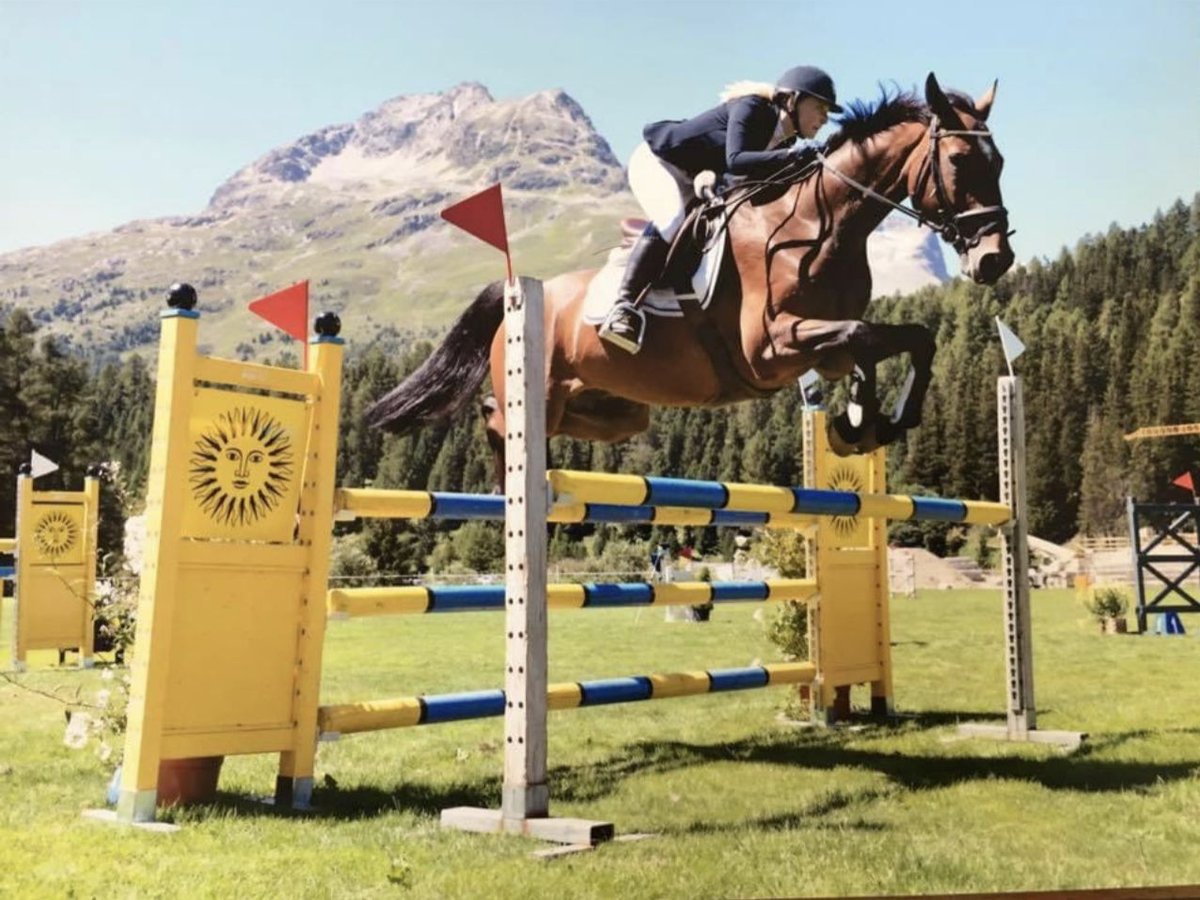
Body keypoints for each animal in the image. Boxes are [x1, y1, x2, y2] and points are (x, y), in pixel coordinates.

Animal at [364, 74, 1012, 487]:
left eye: (1000, 162)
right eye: (959, 161)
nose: (995, 259)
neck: (820, 221)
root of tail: (518, 292)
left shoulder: (819, 347)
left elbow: (909, 339)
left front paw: (870, 422)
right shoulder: (771, 347)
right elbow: (862, 336)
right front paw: (863, 421)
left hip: (618, 407)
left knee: (568, 421)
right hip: (539, 386)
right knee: (503, 415)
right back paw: (513, 478)